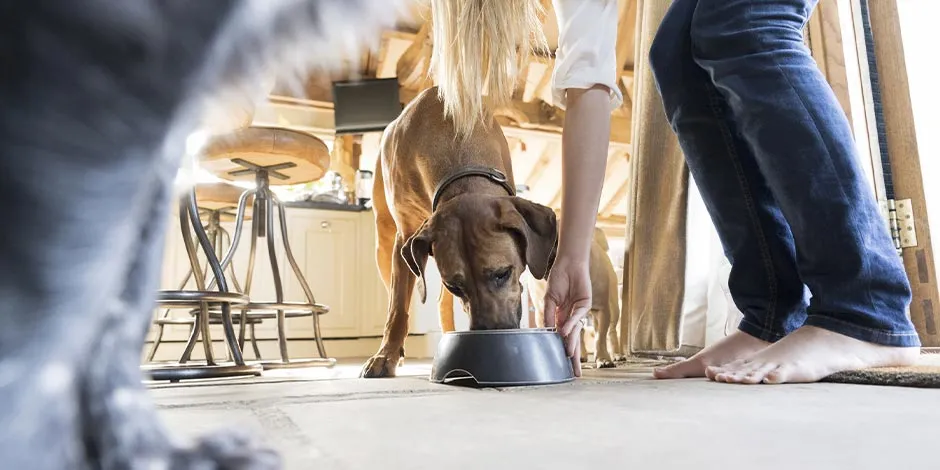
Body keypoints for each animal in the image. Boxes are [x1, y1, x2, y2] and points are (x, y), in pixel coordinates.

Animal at [360, 86, 560, 378]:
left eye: (502, 273)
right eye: (455, 285)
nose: (489, 337)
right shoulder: (405, 236)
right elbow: (397, 308)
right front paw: (385, 356)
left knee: (440, 303)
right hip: (384, 244)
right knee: (394, 292)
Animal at [520, 227, 624, 368]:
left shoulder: (601, 310)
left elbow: (600, 338)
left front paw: (602, 358)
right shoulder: (542, 313)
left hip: (613, 308)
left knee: (611, 332)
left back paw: (616, 355)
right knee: (581, 332)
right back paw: (581, 356)